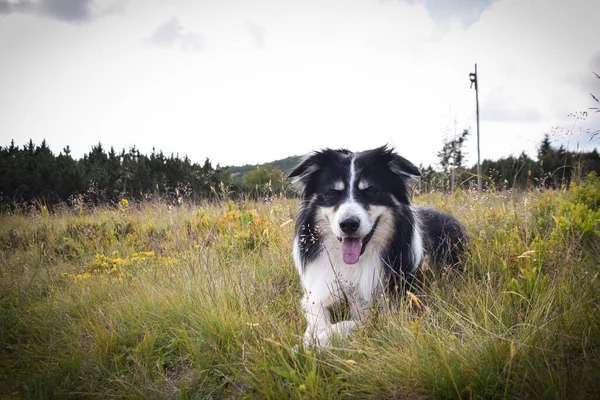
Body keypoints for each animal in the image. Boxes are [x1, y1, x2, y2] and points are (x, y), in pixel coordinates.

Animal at [288, 145, 466, 346]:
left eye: (370, 190)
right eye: (333, 192)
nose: (348, 224)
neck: (355, 264)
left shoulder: (391, 307)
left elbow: (351, 323)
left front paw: (314, 342)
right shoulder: (316, 294)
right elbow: (316, 316)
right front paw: (307, 339)